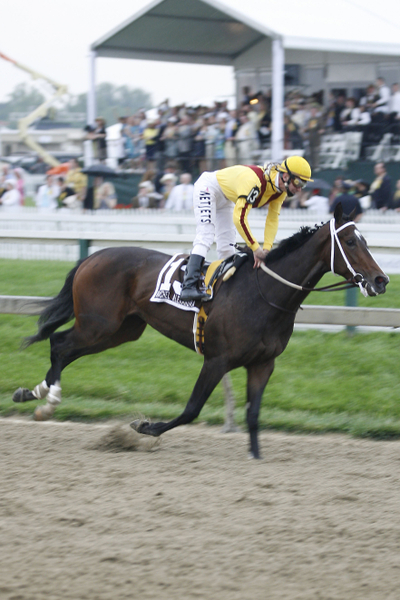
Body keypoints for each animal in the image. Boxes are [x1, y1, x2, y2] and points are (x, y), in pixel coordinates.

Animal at [12, 206, 388, 460]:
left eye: (365, 240)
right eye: (351, 241)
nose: (381, 280)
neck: (264, 294)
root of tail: (94, 256)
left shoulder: (263, 363)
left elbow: (253, 414)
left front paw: (256, 455)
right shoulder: (217, 360)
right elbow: (192, 409)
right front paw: (146, 428)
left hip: (120, 331)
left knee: (65, 348)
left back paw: (35, 393)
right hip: (97, 324)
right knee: (60, 343)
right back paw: (49, 400)